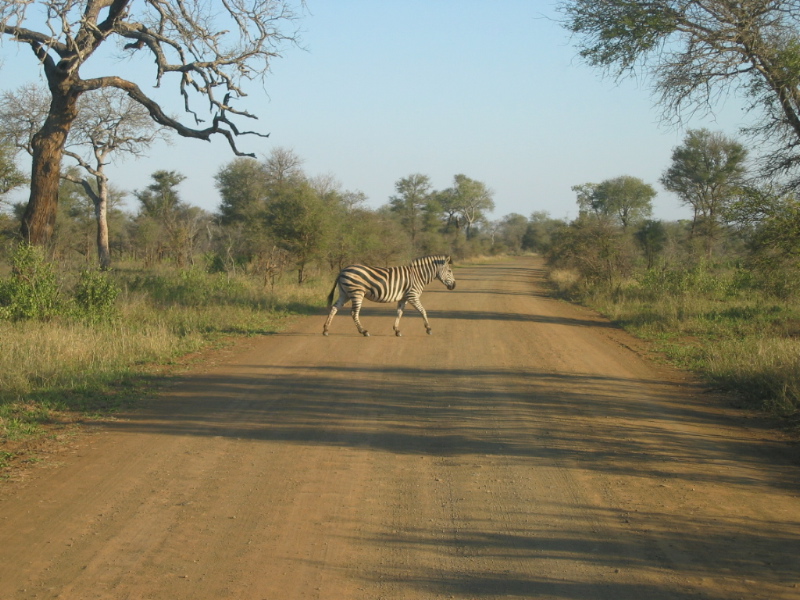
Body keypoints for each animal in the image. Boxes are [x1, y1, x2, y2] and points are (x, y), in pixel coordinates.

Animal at [320, 254, 456, 338]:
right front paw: (428, 329)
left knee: (334, 308)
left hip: (345, 294)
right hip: (356, 293)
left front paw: (397, 330)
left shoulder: (404, 298)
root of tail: (342, 270)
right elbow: (423, 311)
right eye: (449, 271)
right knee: (354, 313)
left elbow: (399, 313)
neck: (418, 275)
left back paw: (326, 330)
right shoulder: (412, 295)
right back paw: (364, 331)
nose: (454, 286)